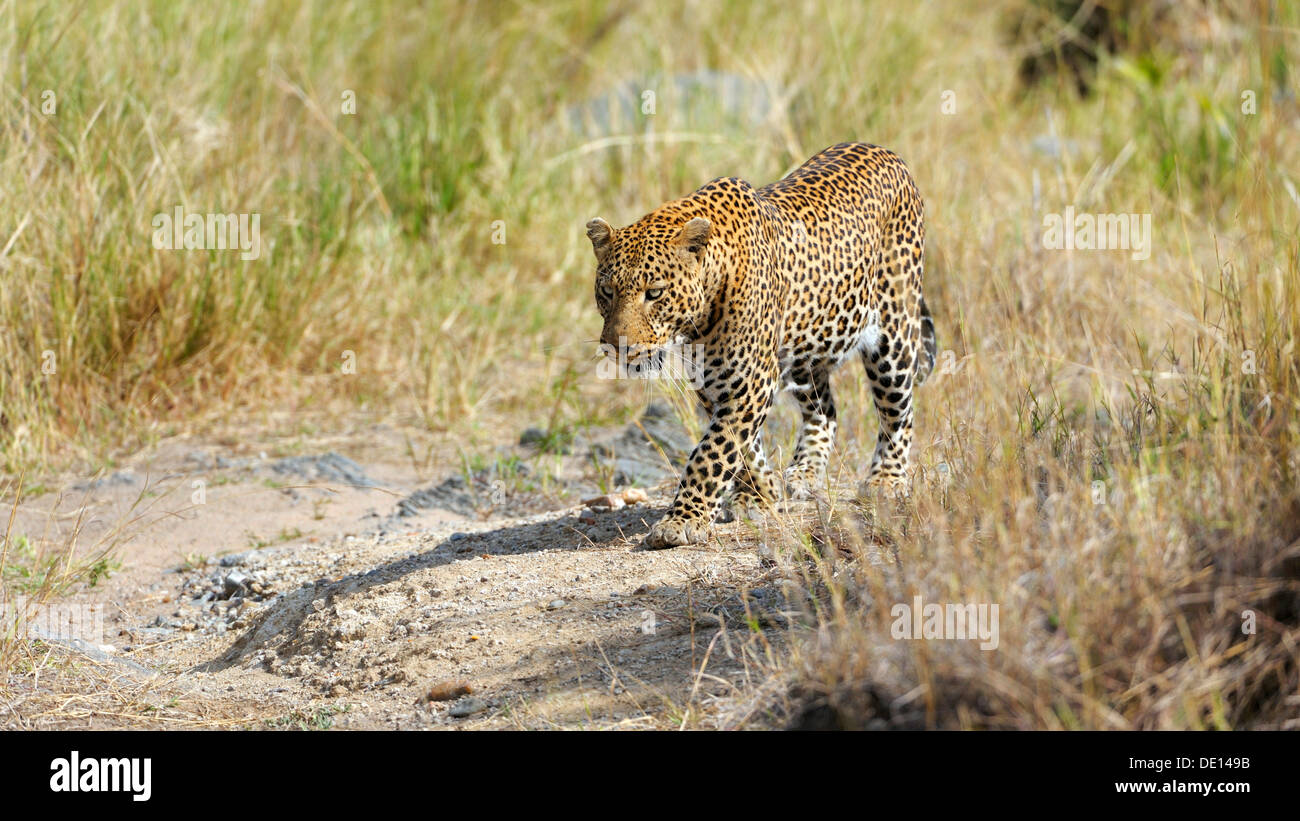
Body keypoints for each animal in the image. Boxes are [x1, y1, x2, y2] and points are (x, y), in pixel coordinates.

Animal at [587, 143, 935, 548]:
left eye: (654, 293)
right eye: (607, 291)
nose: (617, 345)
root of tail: (885, 151)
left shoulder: (750, 380)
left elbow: (712, 452)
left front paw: (682, 520)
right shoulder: (715, 381)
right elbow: (742, 445)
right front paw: (760, 492)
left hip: (893, 334)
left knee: (898, 411)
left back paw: (886, 480)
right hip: (805, 347)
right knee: (825, 410)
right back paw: (804, 471)